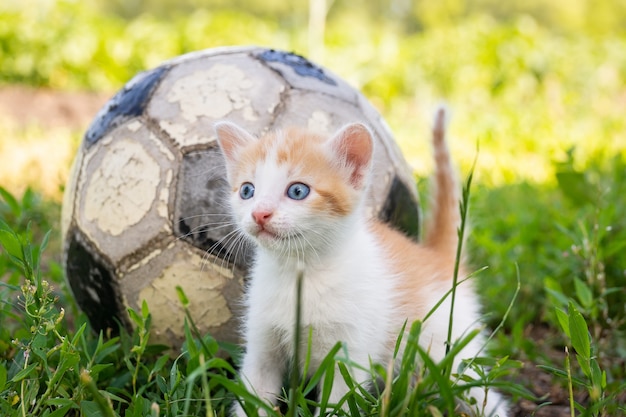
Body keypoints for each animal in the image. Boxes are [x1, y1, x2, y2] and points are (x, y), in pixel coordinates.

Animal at [214, 108, 508, 416]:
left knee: (479, 389)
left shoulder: (348, 353)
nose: (260, 214)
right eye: (247, 191)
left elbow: (338, 402)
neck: (300, 272)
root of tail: (435, 258)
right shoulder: (262, 345)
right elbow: (253, 395)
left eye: (297, 191)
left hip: (450, 351)